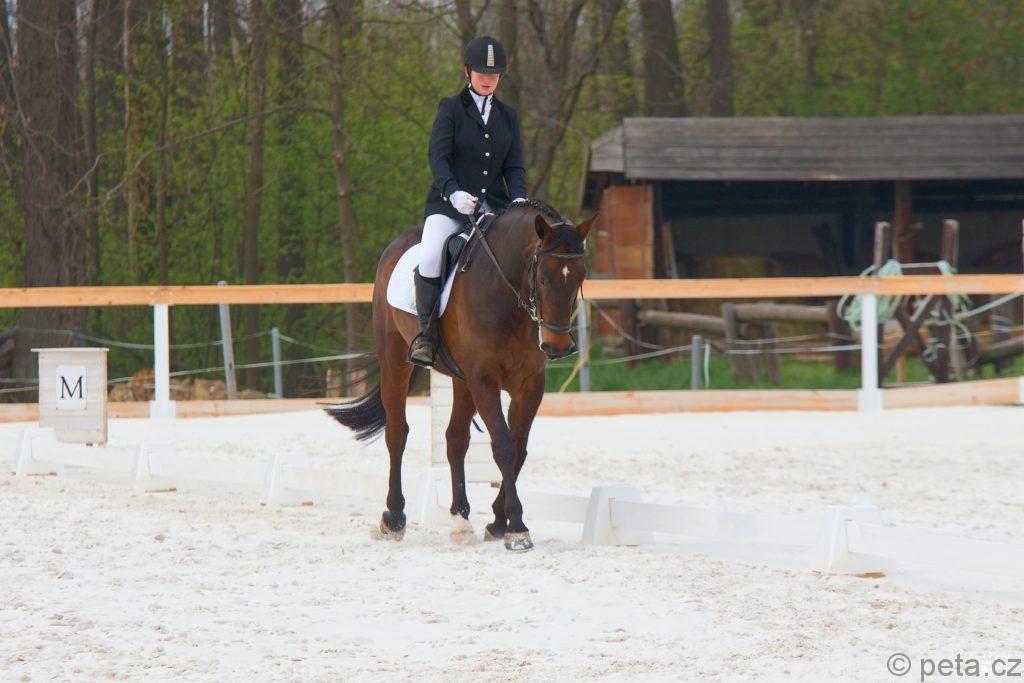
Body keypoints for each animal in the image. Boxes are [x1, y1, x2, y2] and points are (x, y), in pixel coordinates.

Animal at [325, 200, 592, 552]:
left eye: (580, 276)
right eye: (543, 278)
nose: (557, 346)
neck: (510, 295)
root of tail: (398, 244)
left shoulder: (529, 384)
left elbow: (519, 448)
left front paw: (497, 521)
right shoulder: (484, 379)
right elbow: (504, 445)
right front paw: (517, 528)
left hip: (461, 379)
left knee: (455, 439)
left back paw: (460, 518)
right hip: (395, 359)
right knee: (397, 433)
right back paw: (394, 518)